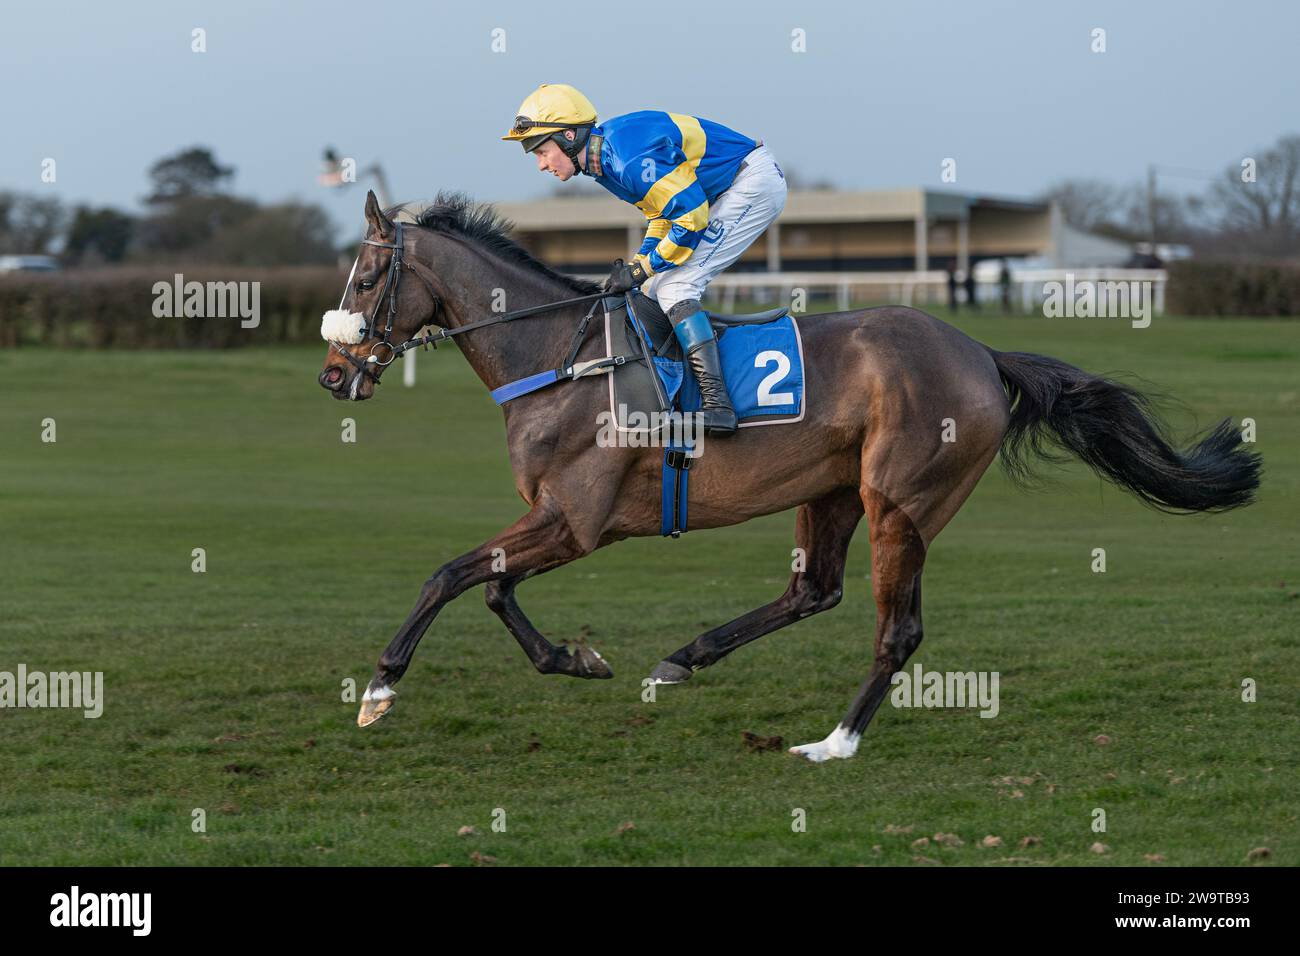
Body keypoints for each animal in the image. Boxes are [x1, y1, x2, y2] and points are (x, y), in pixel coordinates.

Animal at [314, 191, 1258, 764]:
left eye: (366, 274)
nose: (332, 374)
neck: (560, 356)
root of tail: (981, 352)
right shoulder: (559, 520)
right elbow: (494, 590)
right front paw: (578, 659)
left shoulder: (575, 521)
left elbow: (449, 575)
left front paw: (380, 688)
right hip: (831, 490)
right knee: (814, 591)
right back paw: (684, 659)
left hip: (901, 500)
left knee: (896, 629)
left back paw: (835, 742)